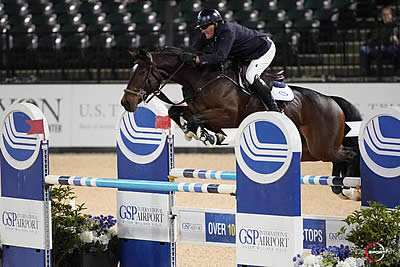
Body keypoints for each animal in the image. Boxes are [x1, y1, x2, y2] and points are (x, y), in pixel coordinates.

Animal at [119, 47, 362, 199]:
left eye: (142, 71)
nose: (126, 102)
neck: (200, 78)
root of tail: (332, 101)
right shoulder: (196, 108)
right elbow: (176, 110)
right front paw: (204, 134)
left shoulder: (227, 114)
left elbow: (196, 119)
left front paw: (205, 135)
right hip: (310, 151)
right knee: (340, 158)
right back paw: (340, 188)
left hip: (322, 146)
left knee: (350, 154)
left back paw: (351, 190)